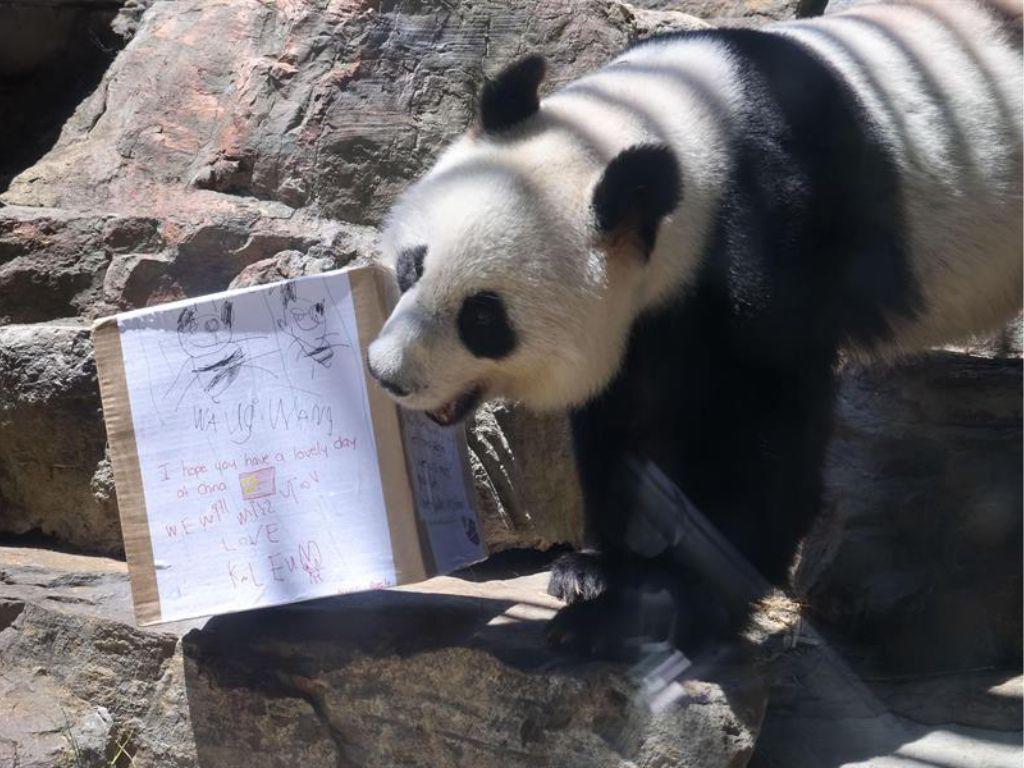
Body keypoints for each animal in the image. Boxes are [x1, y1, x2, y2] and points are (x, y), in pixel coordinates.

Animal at [364, 1, 1019, 663]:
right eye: (412, 266)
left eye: (483, 318)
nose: (388, 374)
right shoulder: (653, 307)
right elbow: (626, 416)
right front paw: (594, 570)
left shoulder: (773, 232)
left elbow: (763, 426)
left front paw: (643, 612)